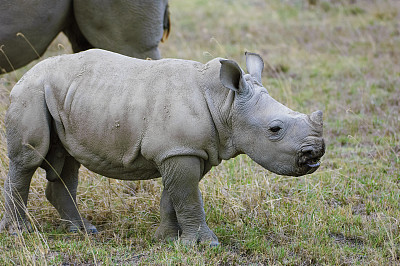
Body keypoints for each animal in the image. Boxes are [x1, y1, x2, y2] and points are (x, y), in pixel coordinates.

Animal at [0, 50, 324, 245]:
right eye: (275, 129)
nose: (315, 155)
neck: (226, 102)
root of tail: (26, 74)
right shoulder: (180, 150)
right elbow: (189, 197)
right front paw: (206, 244)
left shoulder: (182, 150)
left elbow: (175, 196)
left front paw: (167, 240)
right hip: (31, 92)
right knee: (29, 160)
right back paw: (21, 232)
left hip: (64, 98)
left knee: (67, 162)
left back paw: (83, 231)